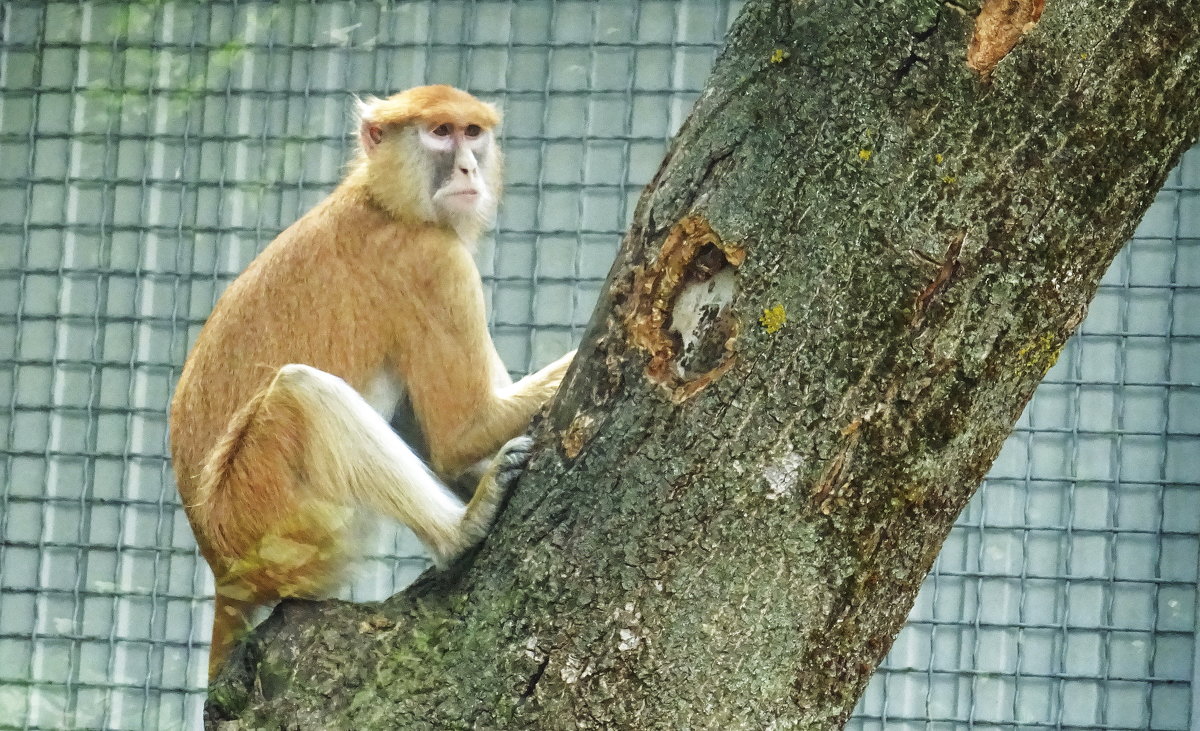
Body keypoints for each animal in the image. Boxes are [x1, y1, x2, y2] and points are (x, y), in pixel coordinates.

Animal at [169, 87, 576, 676]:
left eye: (473, 132)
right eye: (440, 132)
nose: (468, 168)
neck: (382, 199)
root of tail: (224, 573)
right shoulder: (432, 261)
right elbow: (461, 431)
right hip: (266, 516)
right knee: (301, 393)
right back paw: (460, 531)